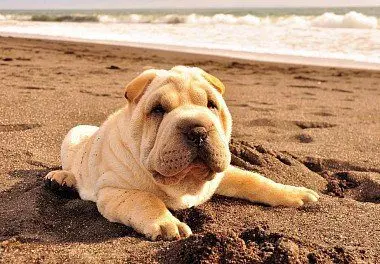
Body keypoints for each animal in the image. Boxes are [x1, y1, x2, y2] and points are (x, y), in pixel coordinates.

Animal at [44, 65, 318, 240]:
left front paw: (294, 193)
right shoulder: (113, 190)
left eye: (211, 105)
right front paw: (167, 224)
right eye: (157, 109)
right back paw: (62, 179)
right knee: (71, 167)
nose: (197, 129)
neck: (185, 181)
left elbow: (254, 180)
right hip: (72, 140)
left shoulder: (222, 173)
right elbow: (145, 199)